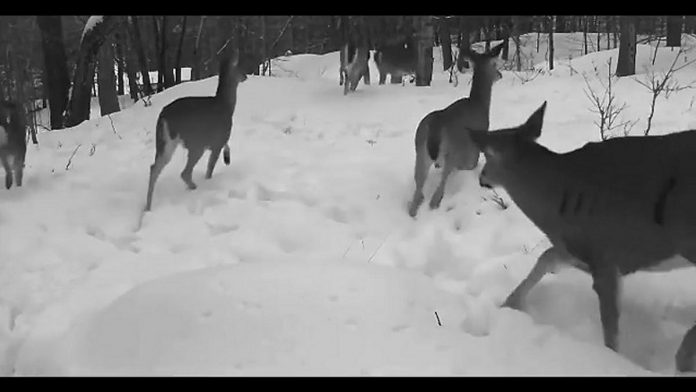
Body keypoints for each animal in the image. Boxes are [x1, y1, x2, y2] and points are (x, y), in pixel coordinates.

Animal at [144, 51, 247, 213]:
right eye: (239, 67)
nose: (245, 75)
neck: (226, 105)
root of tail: (163, 115)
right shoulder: (218, 139)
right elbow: (210, 168)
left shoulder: (218, 140)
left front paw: (227, 158)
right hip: (195, 142)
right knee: (184, 172)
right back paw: (195, 188)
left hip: (165, 141)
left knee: (154, 167)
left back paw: (148, 207)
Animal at [406, 43, 502, 217]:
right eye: (495, 64)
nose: (500, 75)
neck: (480, 104)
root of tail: (435, 125)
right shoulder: (477, 140)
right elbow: (473, 162)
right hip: (451, 150)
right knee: (441, 184)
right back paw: (435, 203)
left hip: (420, 152)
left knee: (419, 186)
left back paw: (414, 210)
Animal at [470, 102, 696, 374]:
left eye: (488, 155)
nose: (482, 178)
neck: (557, 199)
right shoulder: (578, 247)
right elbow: (546, 257)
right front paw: (509, 305)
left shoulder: (604, 254)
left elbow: (610, 329)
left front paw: (613, 362)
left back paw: (682, 359)